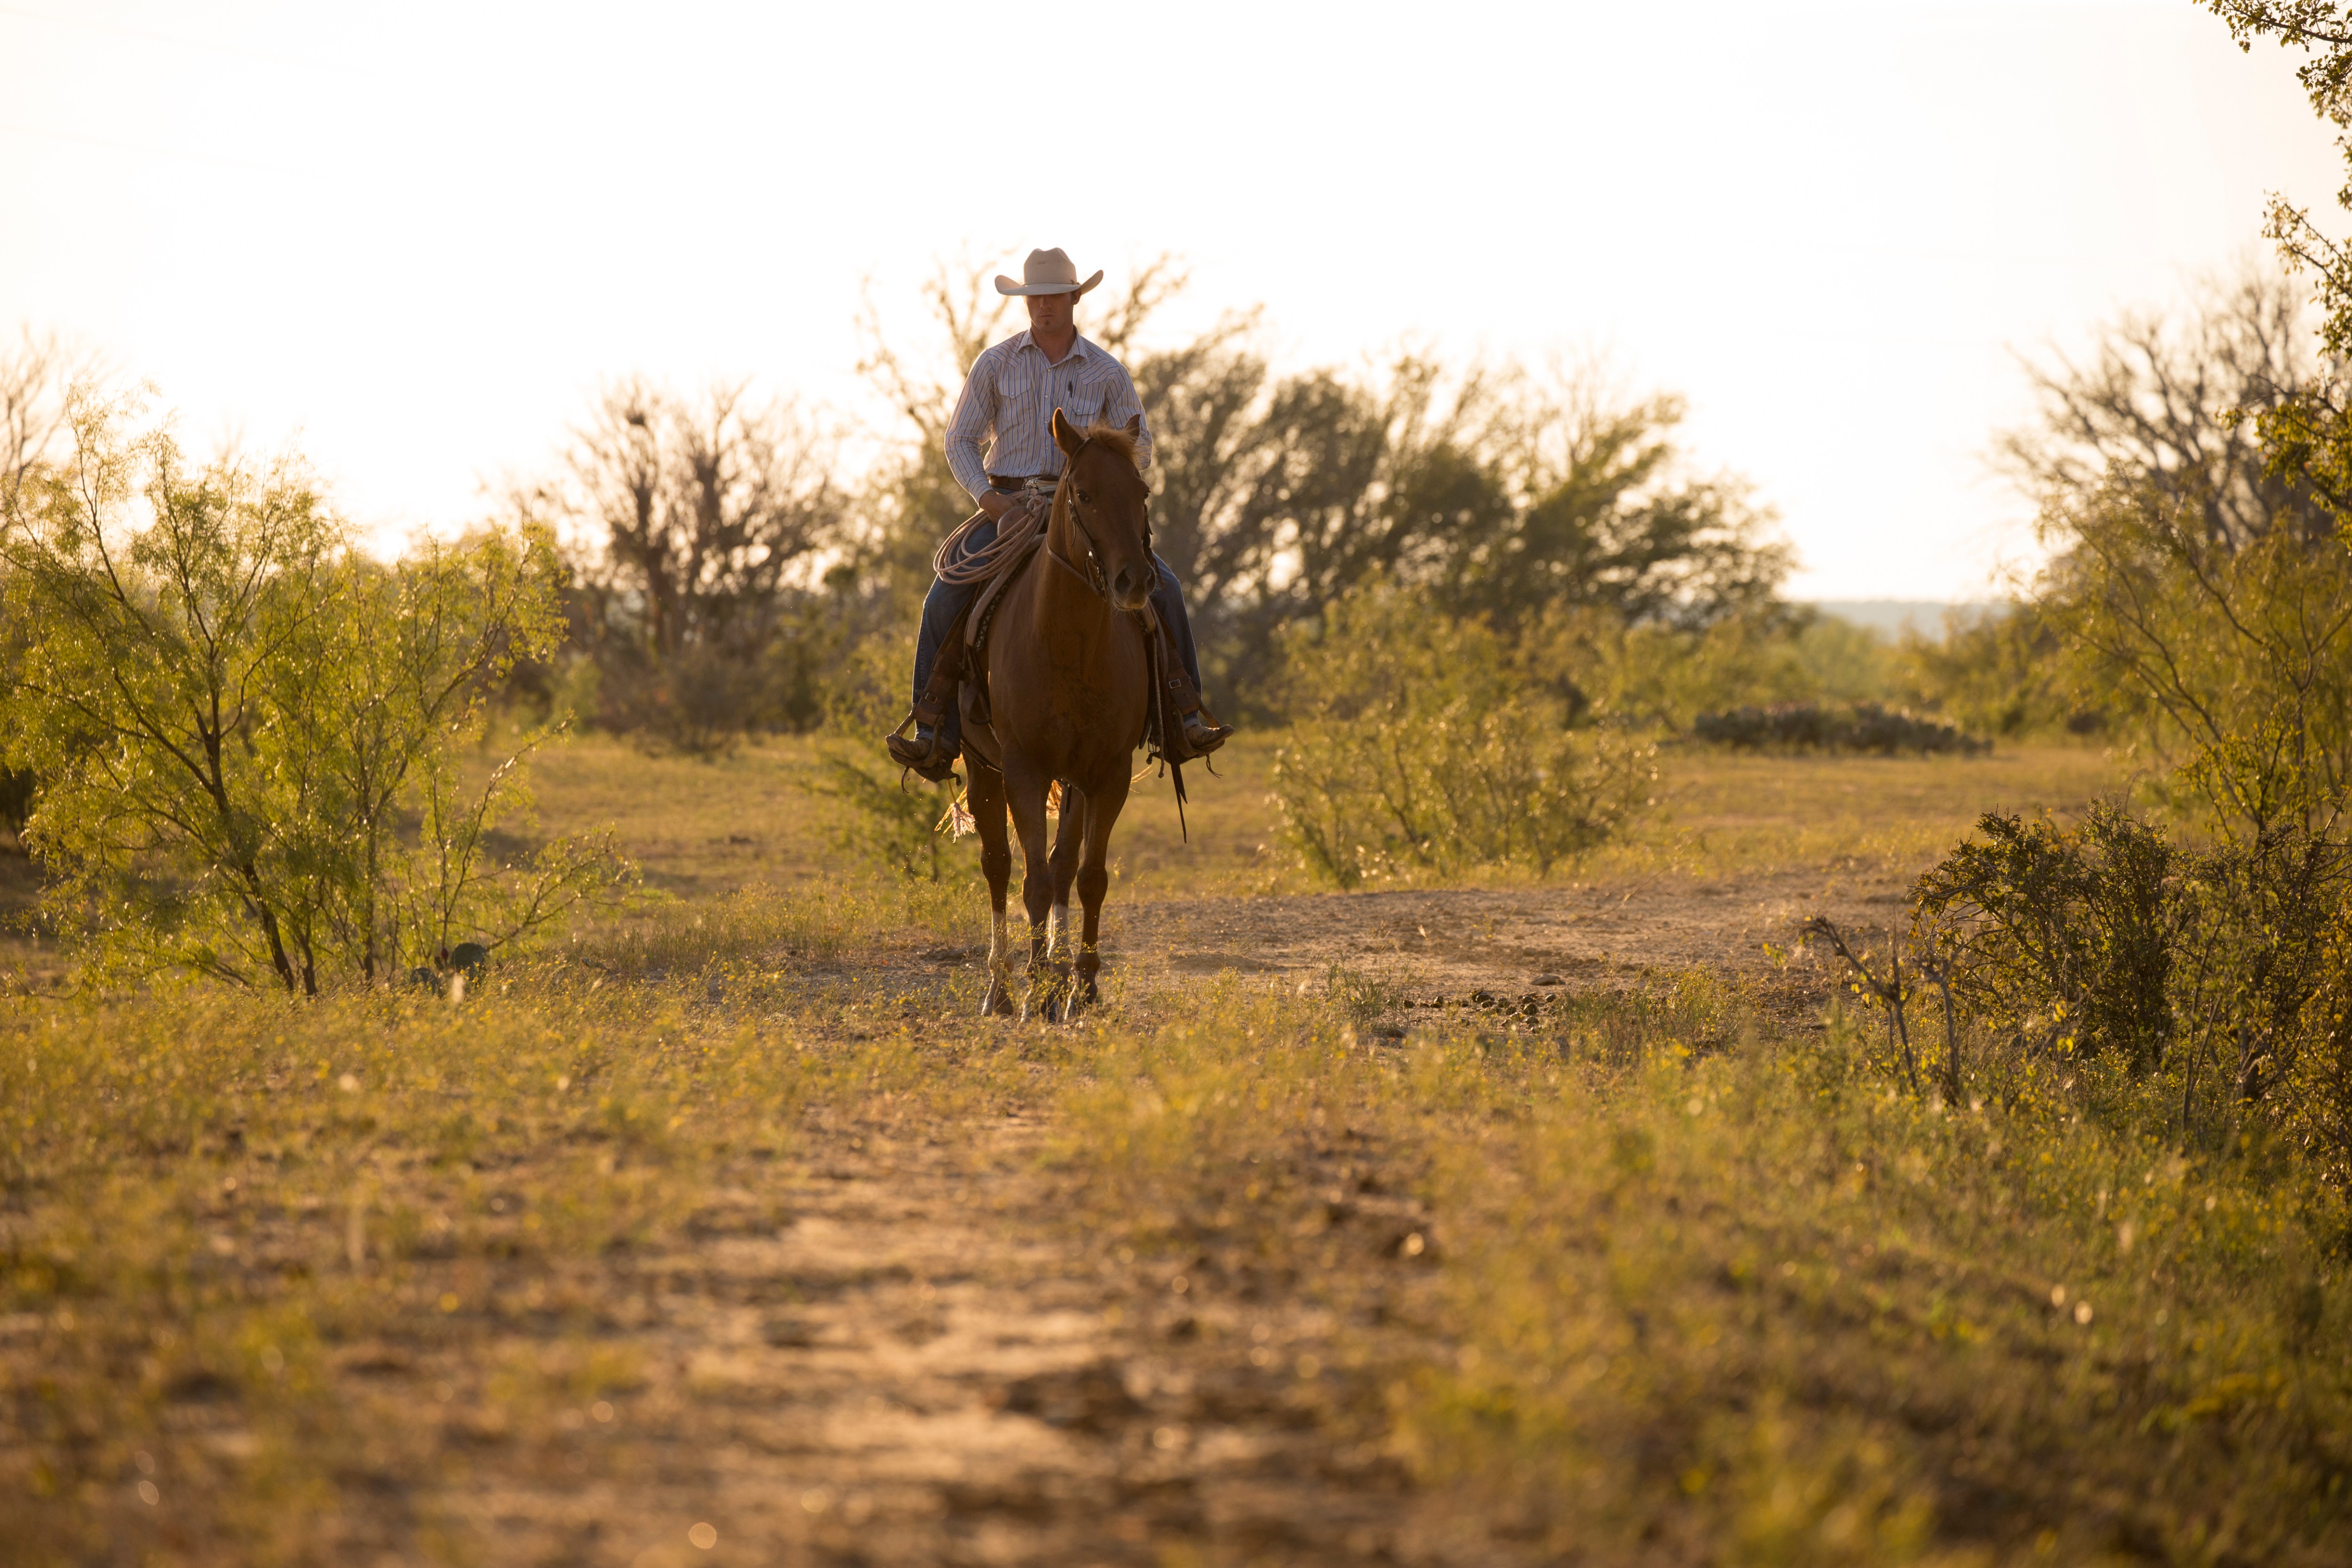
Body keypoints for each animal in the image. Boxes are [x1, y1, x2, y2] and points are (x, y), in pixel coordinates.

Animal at [955, 409, 1157, 1020]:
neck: (1067, 642)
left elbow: (1087, 877)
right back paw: (999, 988)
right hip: (982, 768)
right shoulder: (1024, 769)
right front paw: (1036, 987)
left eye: (1141, 491)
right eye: (1084, 494)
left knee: (1063, 866)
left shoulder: (1107, 773)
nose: (1134, 581)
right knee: (998, 865)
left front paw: (1080, 988)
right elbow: (1034, 882)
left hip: (1071, 781)